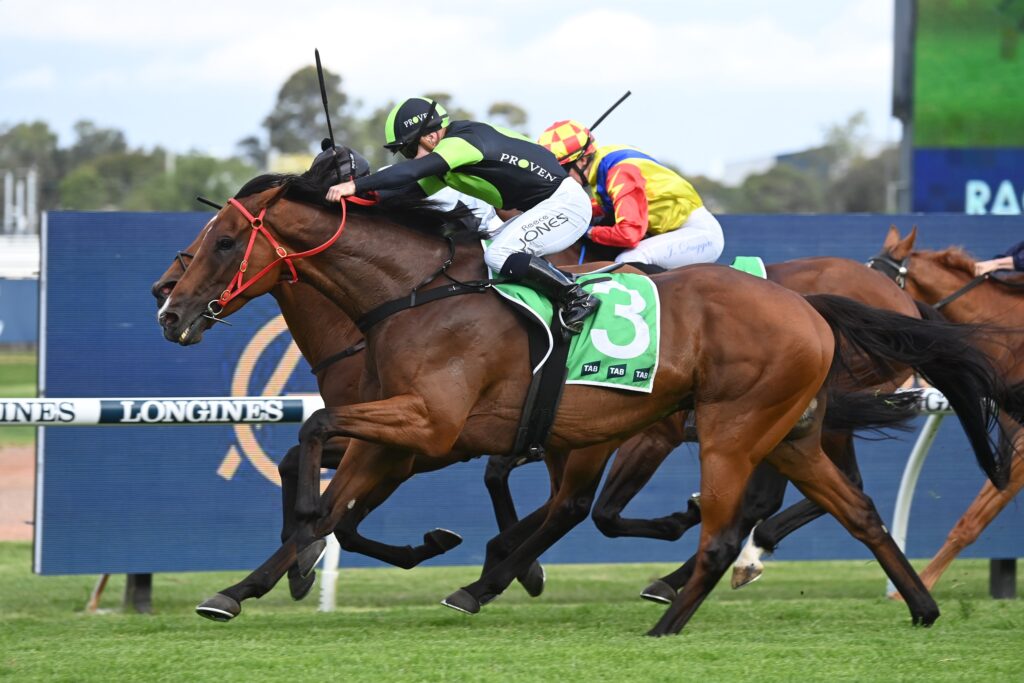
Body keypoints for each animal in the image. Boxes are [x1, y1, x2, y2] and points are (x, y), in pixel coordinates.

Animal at [155, 173, 1006, 635]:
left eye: (225, 241)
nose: (170, 306)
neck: (415, 294)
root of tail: (808, 306)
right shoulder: (406, 436)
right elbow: (334, 494)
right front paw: (249, 586)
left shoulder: (428, 425)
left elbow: (319, 447)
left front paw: (304, 554)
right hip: (779, 428)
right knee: (852, 508)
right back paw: (920, 605)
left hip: (722, 428)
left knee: (720, 520)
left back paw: (663, 602)